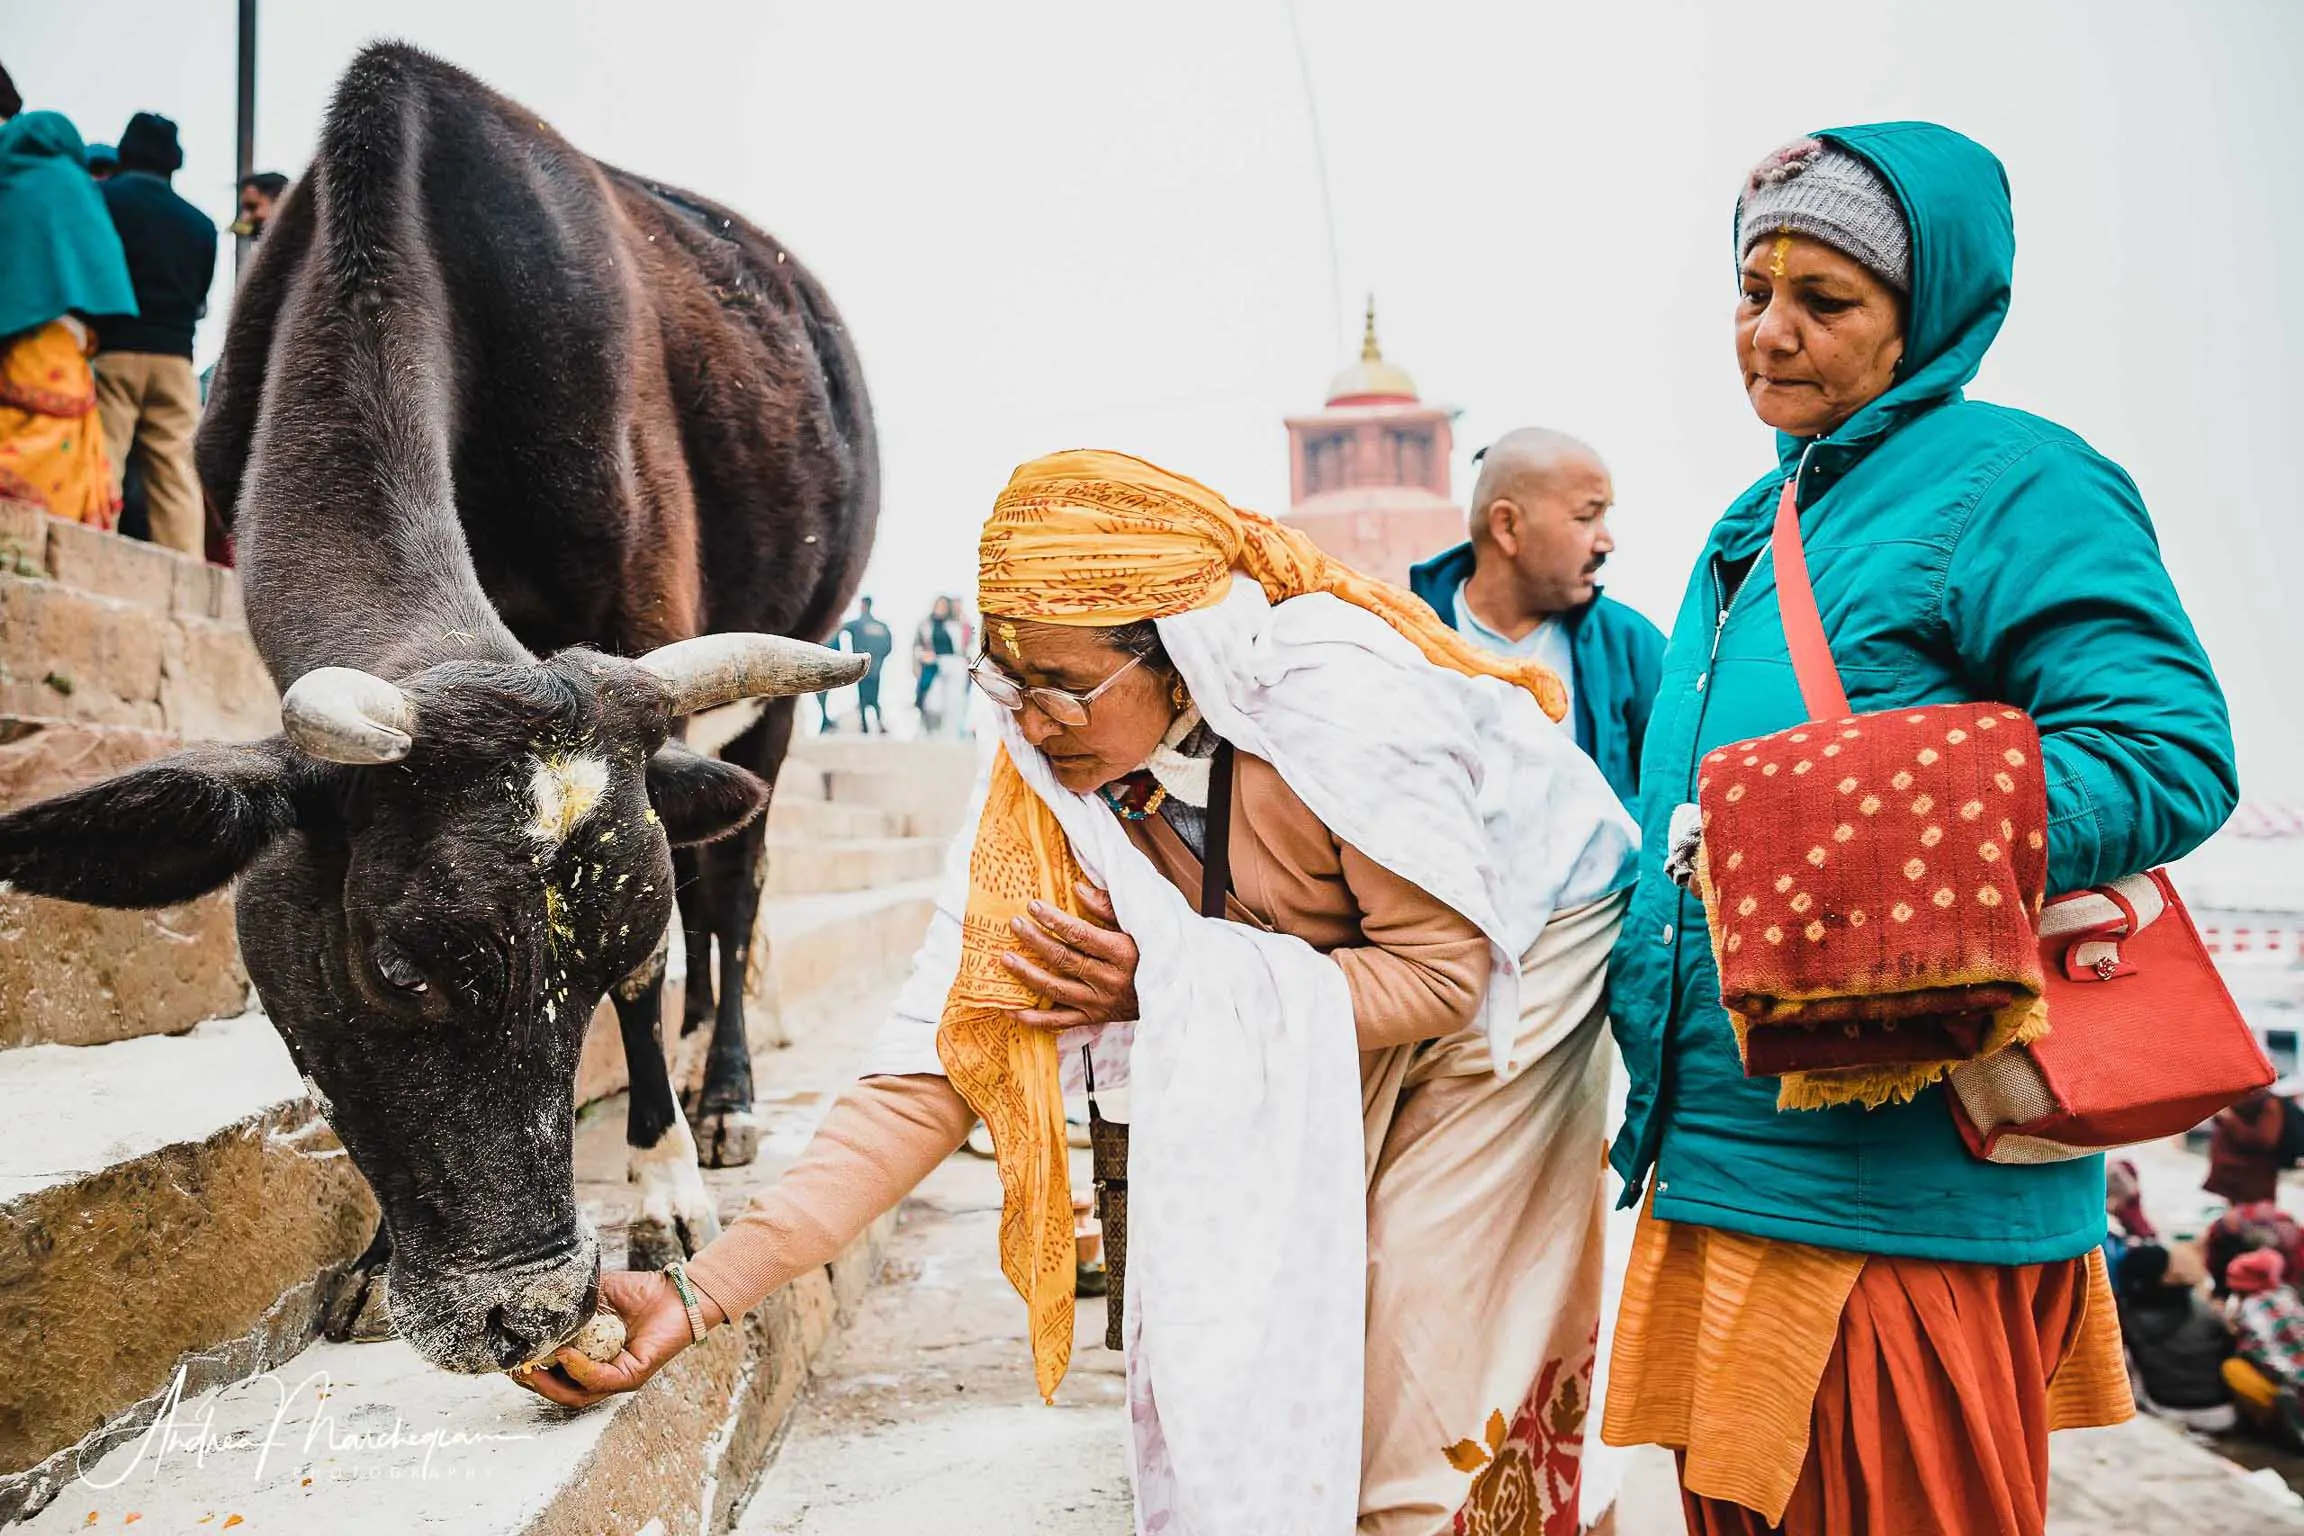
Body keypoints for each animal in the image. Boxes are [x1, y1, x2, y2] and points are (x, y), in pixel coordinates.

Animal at [0, 45, 875, 1372]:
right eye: (398, 967)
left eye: (612, 944)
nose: (532, 1311)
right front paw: (368, 1263)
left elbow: (667, 939)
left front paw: (665, 1188)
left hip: (788, 675)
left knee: (734, 886)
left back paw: (720, 1096)